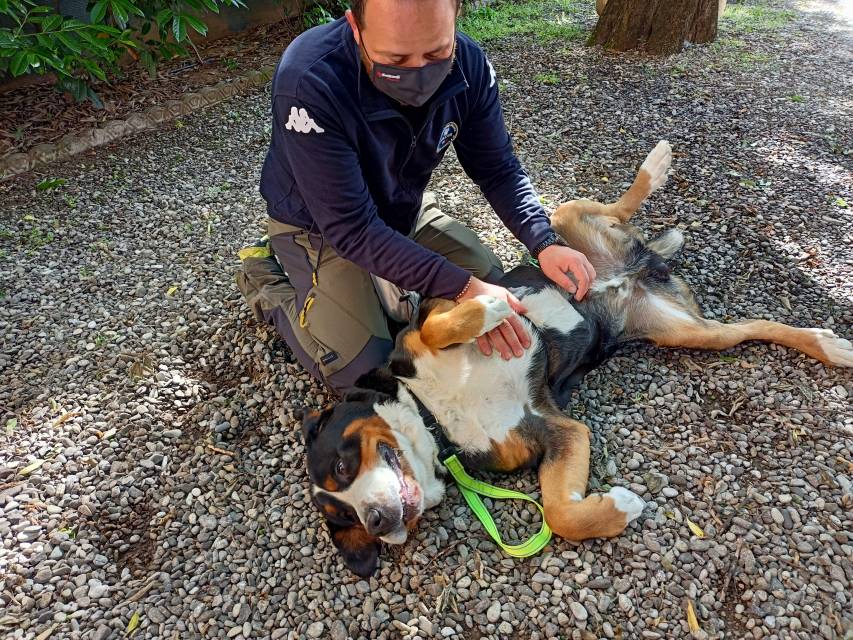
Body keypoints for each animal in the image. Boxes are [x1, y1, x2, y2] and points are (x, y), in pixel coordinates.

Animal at [300, 141, 853, 576]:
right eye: (345, 518)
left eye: (343, 467)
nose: (376, 521)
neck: (436, 413)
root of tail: (639, 269)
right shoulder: (555, 430)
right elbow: (560, 514)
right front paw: (620, 507)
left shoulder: (433, 318)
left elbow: (448, 321)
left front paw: (495, 307)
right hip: (690, 333)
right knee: (753, 328)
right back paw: (829, 344)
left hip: (568, 226)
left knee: (595, 209)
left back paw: (656, 164)